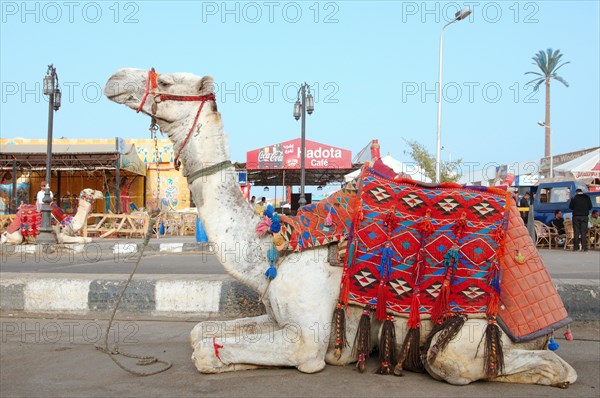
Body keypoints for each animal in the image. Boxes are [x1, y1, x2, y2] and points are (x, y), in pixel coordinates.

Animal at [104, 68, 576, 386]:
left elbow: (210, 351)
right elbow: (200, 332)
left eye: (168, 82)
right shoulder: (277, 316)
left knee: (486, 364)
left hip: (471, 336)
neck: (275, 247)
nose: (114, 78)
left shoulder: (307, 338)